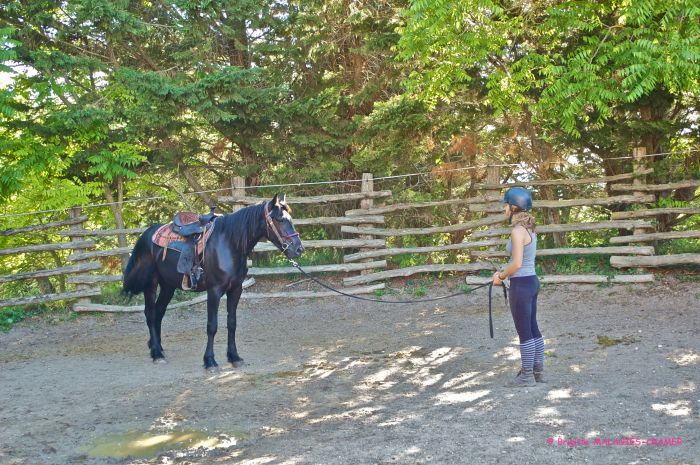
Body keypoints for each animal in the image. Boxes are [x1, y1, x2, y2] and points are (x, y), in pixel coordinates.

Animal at [123, 192, 304, 370]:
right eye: (280, 220)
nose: (298, 249)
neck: (229, 244)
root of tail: (147, 234)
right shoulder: (214, 291)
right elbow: (212, 326)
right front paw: (209, 360)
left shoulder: (236, 289)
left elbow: (232, 323)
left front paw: (234, 357)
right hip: (151, 284)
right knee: (151, 314)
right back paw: (156, 354)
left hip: (168, 286)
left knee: (159, 312)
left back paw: (158, 348)